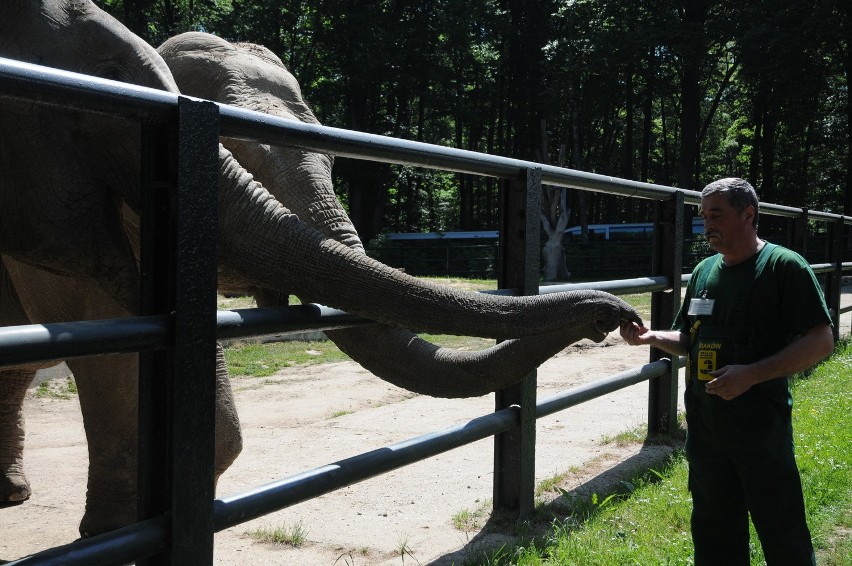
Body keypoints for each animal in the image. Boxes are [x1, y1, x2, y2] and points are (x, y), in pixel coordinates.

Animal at [0, 0, 640, 540]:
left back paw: (11, 495)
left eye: (334, 162)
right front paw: (109, 536)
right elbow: (109, 339)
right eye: (241, 152)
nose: (617, 317)